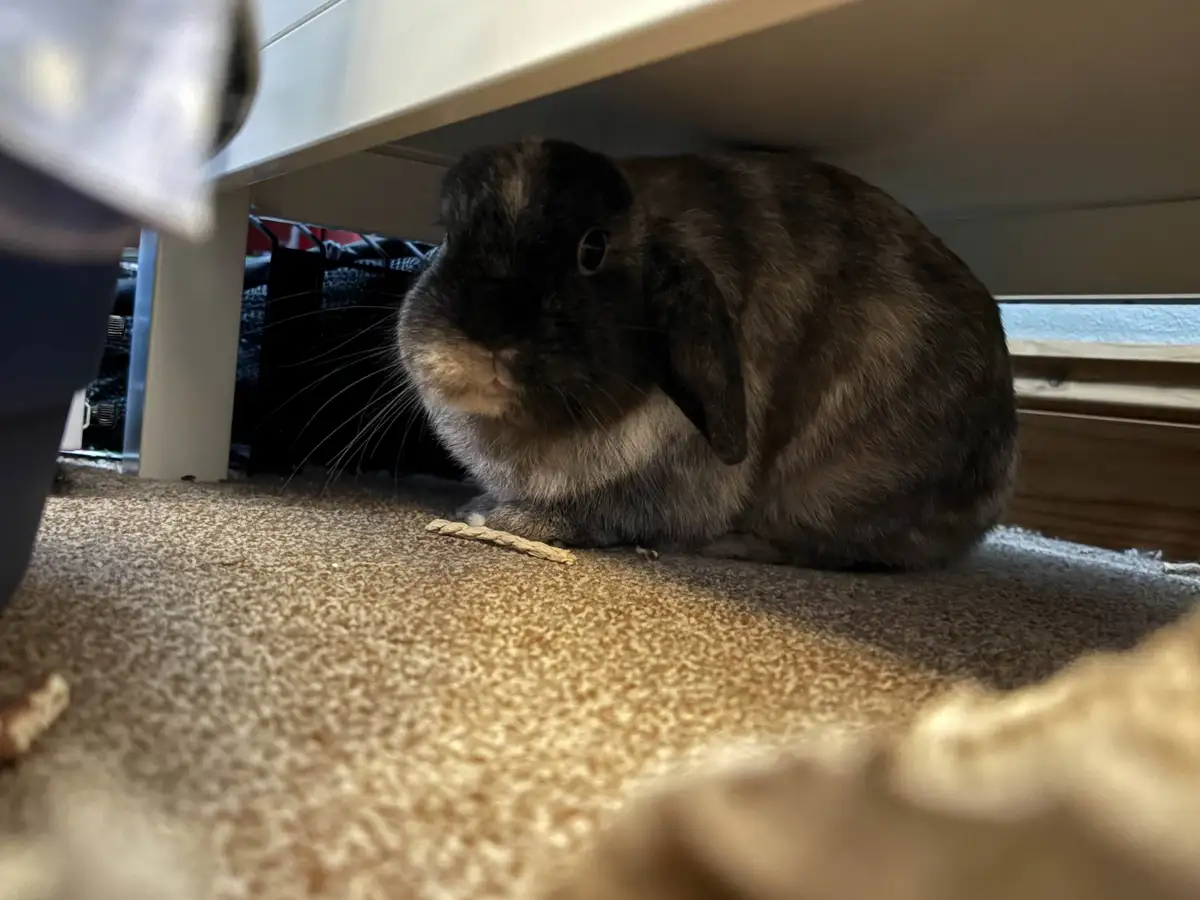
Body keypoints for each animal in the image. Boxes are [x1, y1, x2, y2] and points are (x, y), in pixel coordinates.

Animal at [395, 137, 1017, 571]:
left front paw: (493, 516)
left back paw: (735, 545)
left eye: (593, 249)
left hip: (838, 488)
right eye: (448, 235)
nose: (485, 338)